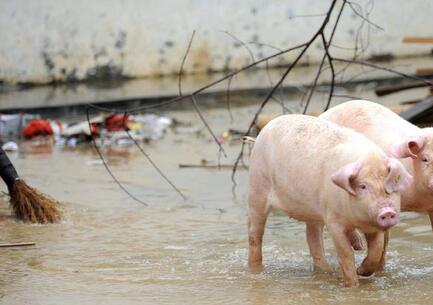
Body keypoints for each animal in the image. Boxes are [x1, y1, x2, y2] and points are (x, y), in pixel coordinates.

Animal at [246, 113, 408, 284]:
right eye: (363, 186)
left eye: (391, 183)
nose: (387, 211)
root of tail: (262, 132)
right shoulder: (333, 220)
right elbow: (346, 255)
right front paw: (353, 283)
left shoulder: (373, 226)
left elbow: (376, 250)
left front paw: (362, 271)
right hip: (257, 187)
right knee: (255, 234)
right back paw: (255, 268)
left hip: (312, 212)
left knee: (313, 239)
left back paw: (334, 265)